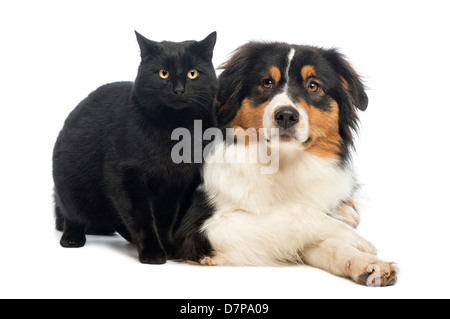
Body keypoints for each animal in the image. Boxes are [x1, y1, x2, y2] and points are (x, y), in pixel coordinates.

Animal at [52, 31, 218, 264]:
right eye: (163, 73)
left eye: (193, 73)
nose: (178, 90)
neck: (173, 130)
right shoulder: (126, 179)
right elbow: (141, 219)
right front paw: (152, 251)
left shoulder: (174, 185)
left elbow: (165, 219)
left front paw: (167, 246)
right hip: (70, 185)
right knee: (71, 214)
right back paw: (72, 238)